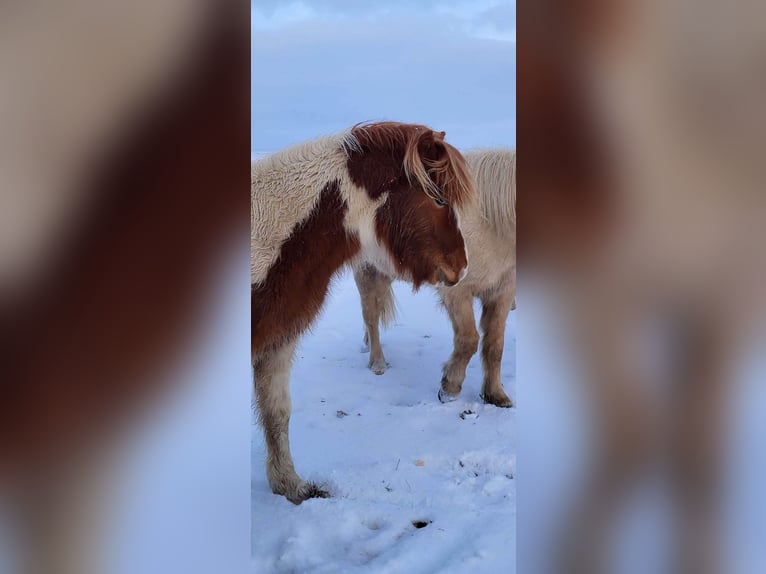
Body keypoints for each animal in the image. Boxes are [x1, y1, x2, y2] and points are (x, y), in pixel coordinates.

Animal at [354, 150, 516, 410]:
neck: (489, 223)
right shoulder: (457, 292)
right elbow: (468, 340)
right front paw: (450, 388)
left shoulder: (502, 292)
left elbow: (495, 344)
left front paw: (495, 395)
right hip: (367, 273)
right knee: (370, 316)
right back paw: (378, 363)